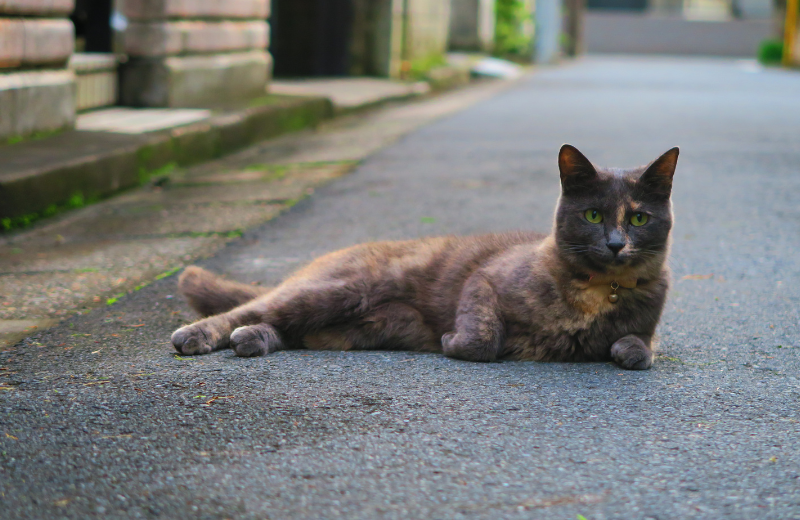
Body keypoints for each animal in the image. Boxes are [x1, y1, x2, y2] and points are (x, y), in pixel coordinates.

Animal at [172, 144, 680, 368]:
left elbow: (638, 350)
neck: (597, 291)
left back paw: (251, 340)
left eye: (638, 218)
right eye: (593, 214)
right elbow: (482, 338)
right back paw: (199, 335)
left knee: (286, 329)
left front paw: (625, 349)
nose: (615, 243)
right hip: (339, 290)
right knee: (251, 308)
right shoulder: (484, 280)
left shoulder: (646, 329)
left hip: (355, 326)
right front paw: (453, 341)